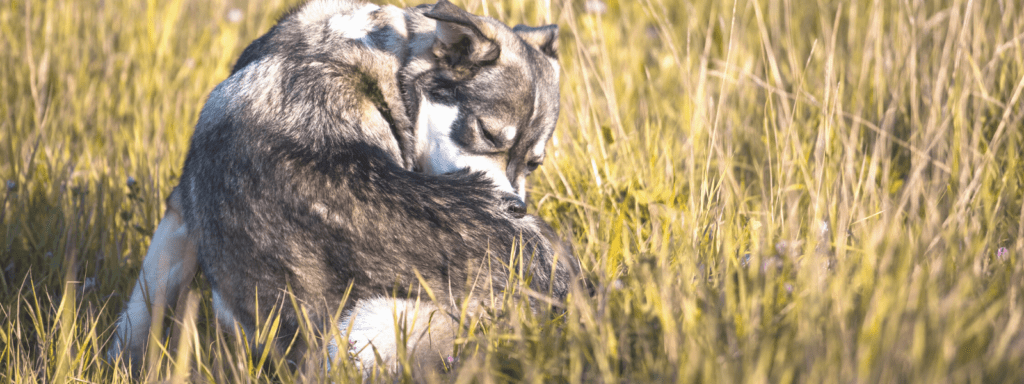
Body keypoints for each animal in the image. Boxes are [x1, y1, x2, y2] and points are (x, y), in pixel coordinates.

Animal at [108, 0, 581, 374]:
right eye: (485, 133)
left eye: (533, 164)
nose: (515, 209)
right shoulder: (180, 217)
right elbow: (138, 318)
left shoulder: (180, 214)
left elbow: (139, 314)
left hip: (364, 328)